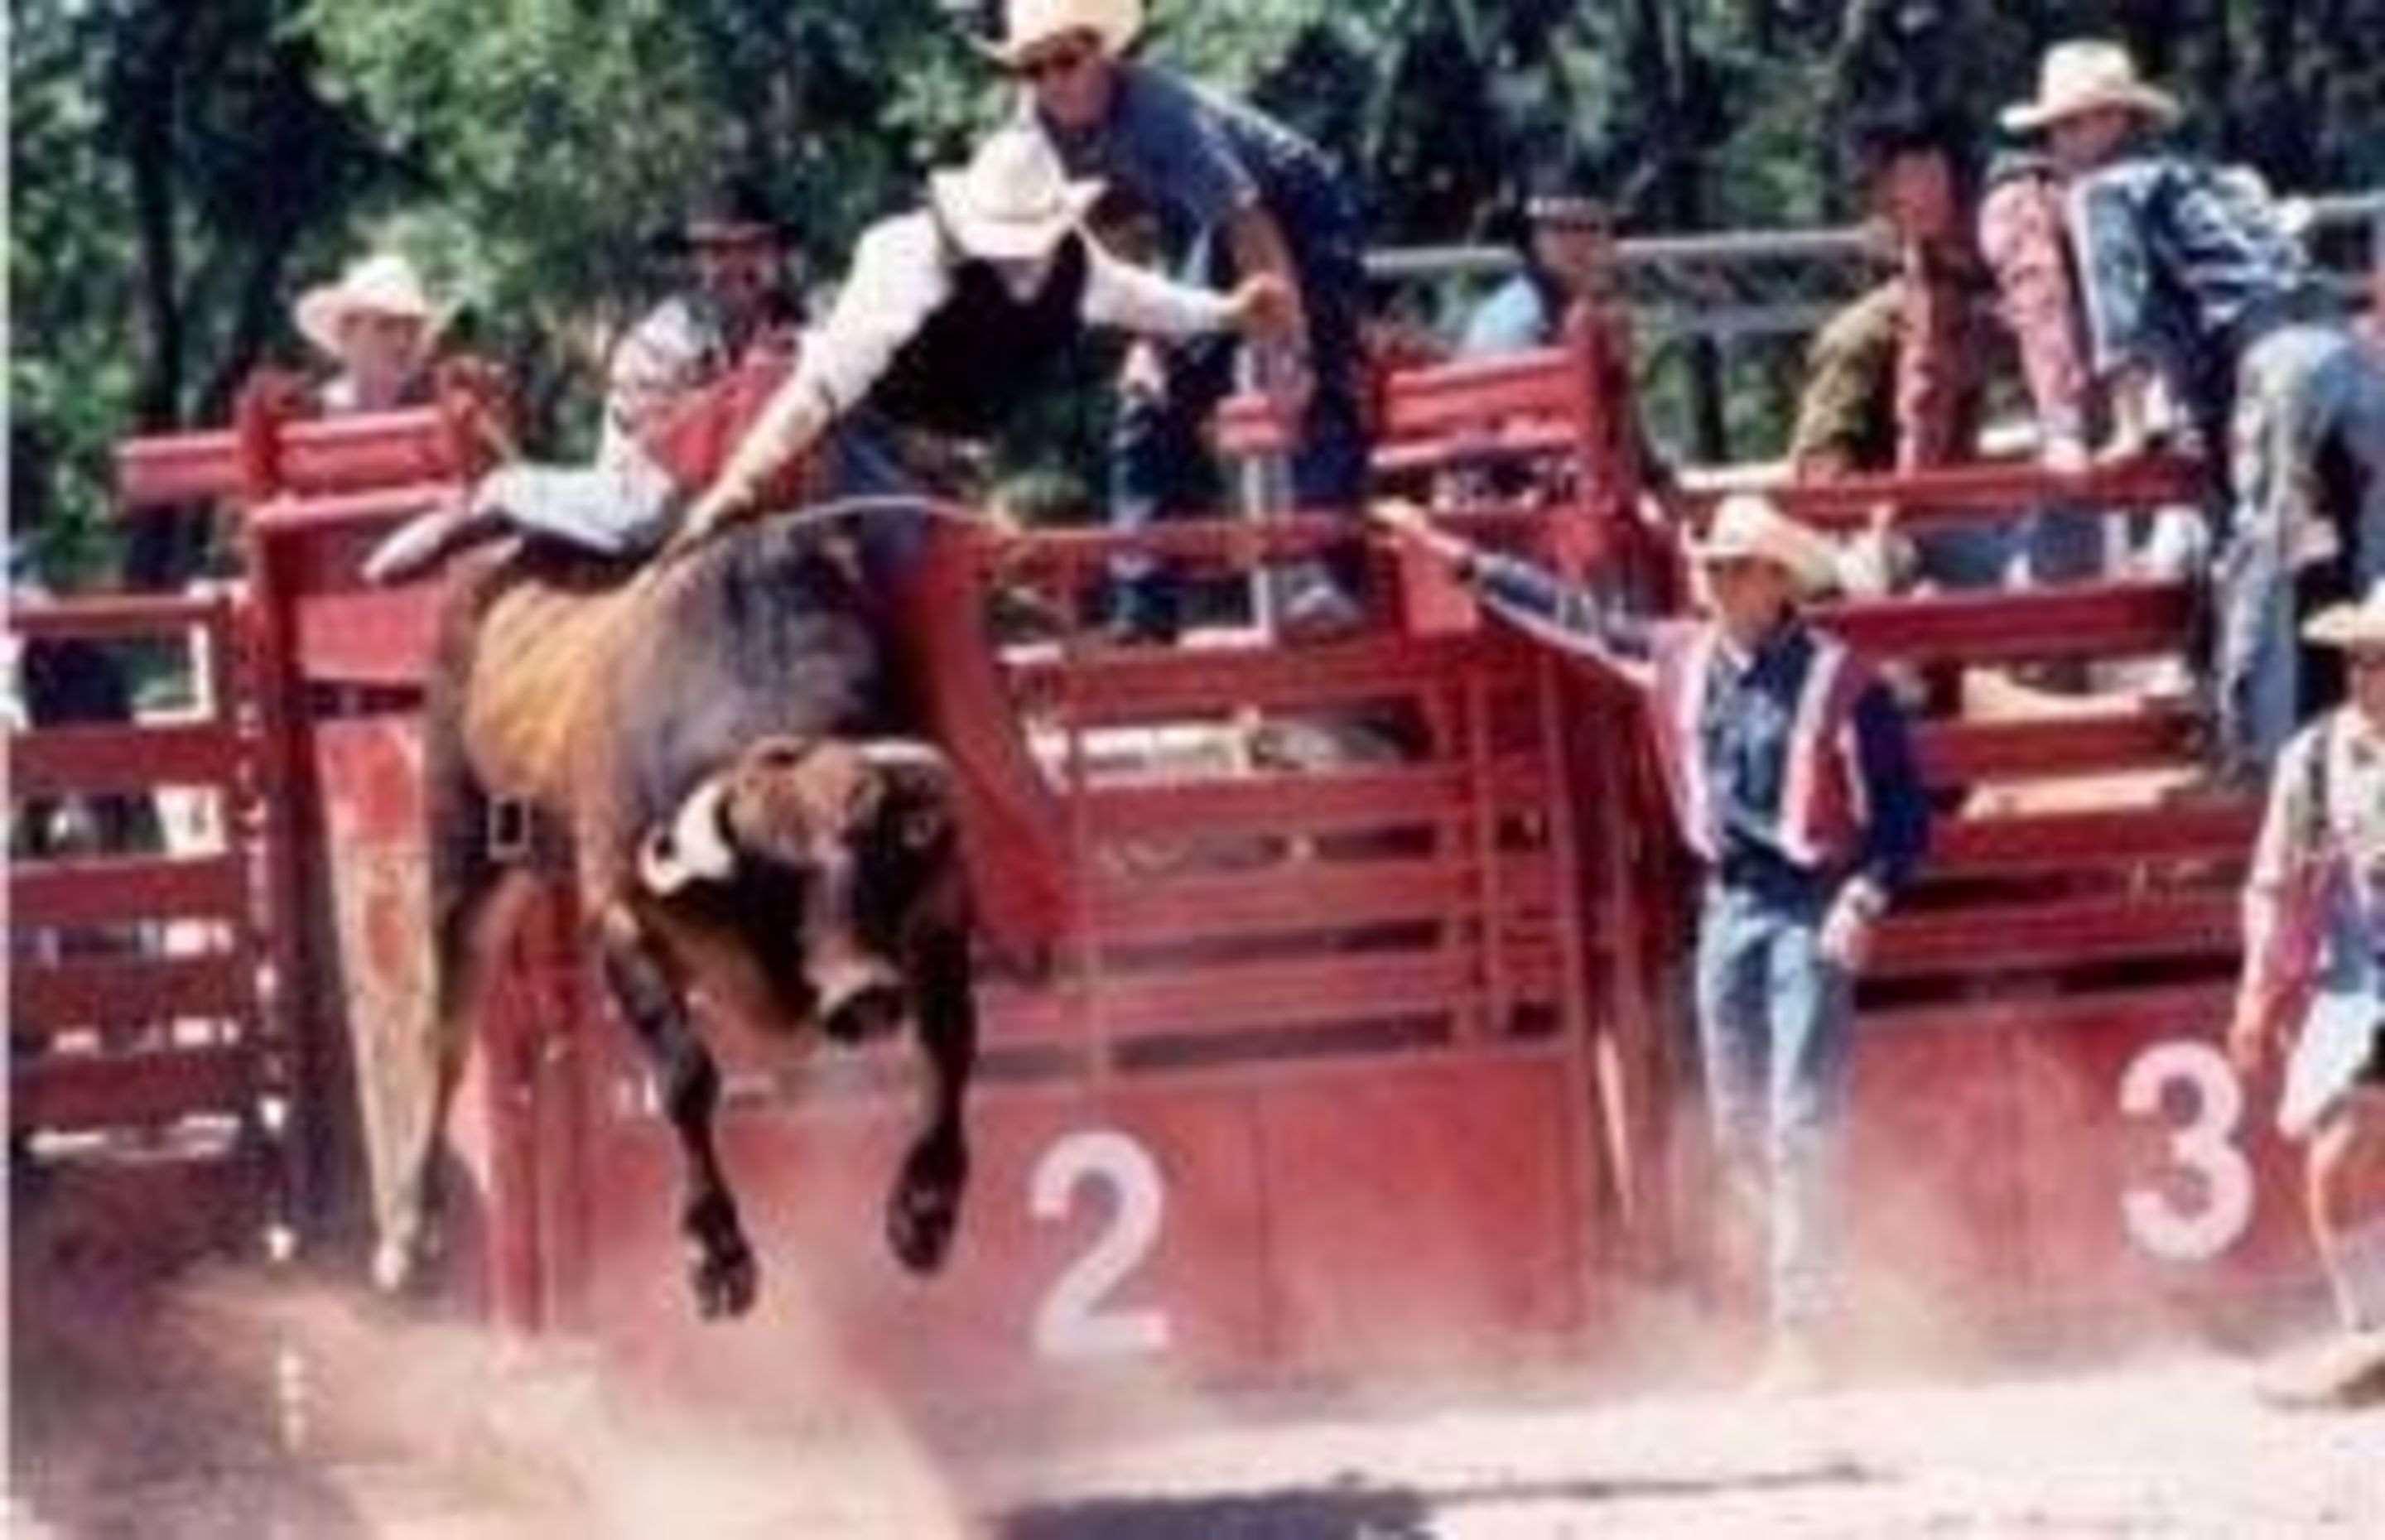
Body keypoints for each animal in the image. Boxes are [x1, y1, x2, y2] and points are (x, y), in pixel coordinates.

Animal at [378, 524, 996, 1325]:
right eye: (771, 872)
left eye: (881, 848)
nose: (862, 993)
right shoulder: (622, 921)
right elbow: (685, 1075)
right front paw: (716, 1255)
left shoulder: (938, 901)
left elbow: (950, 1038)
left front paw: (926, 1210)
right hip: (465, 860)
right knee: (445, 1034)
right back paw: (406, 1235)